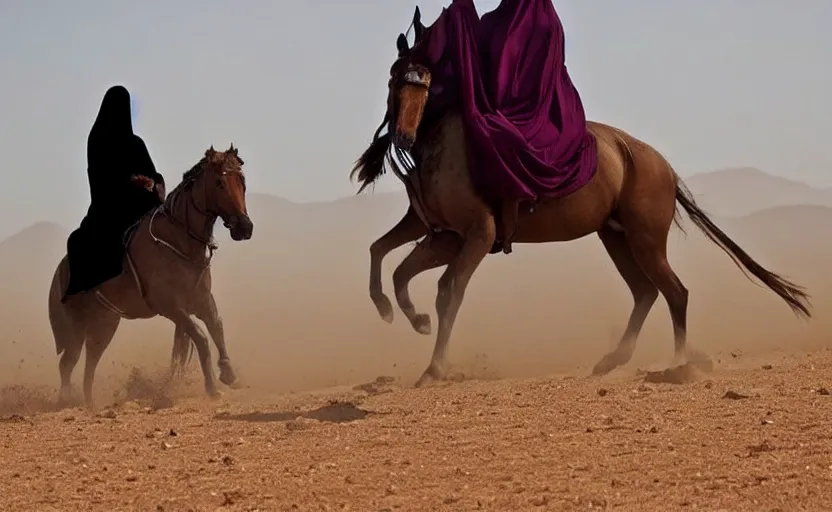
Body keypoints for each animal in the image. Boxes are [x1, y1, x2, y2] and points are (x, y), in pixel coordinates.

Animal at [48, 144, 254, 408]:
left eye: (242, 181)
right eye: (219, 182)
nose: (244, 228)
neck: (178, 241)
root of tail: (61, 271)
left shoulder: (201, 300)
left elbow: (216, 327)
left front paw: (229, 374)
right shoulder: (171, 306)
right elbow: (201, 337)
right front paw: (212, 389)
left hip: (104, 324)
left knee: (90, 363)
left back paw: (90, 403)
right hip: (76, 327)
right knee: (68, 362)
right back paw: (67, 400)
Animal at [352, 32, 812, 386]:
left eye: (426, 83)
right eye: (395, 79)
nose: (403, 135)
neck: (442, 150)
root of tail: (663, 167)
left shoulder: (478, 234)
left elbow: (447, 290)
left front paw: (433, 367)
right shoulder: (442, 235)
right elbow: (386, 258)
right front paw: (403, 315)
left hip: (646, 239)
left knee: (674, 291)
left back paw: (679, 364)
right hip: (615, 236)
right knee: (645, 291)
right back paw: (613, 360)